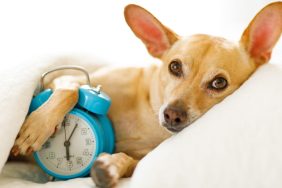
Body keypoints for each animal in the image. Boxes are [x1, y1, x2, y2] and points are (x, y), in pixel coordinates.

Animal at [11, 1, 282, 188]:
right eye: (174, 67)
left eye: (219, 83)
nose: (172, 115)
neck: (147, 115)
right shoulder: (68, 77)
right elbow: (71, 89)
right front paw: (36, 128)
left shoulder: (144, 156)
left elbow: (129, 160)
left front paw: (110, 166)